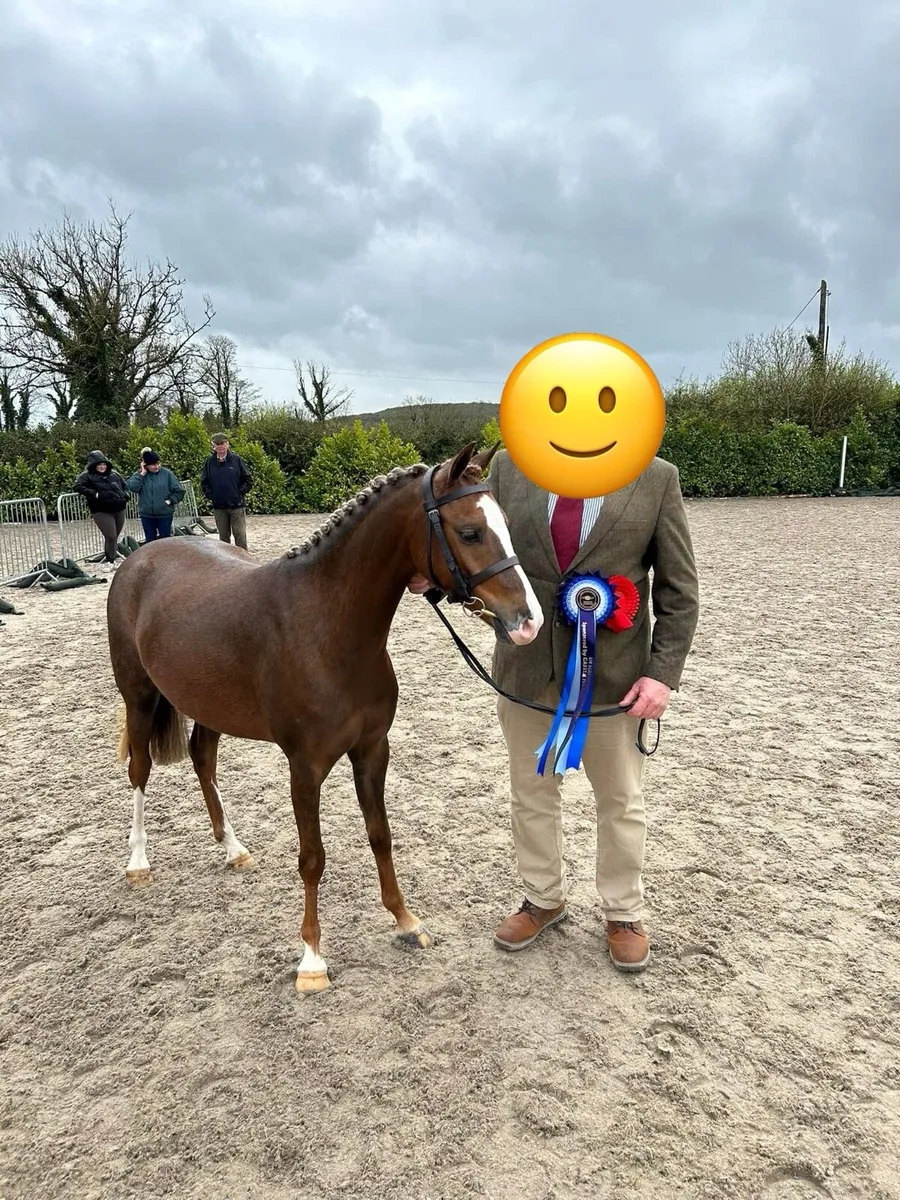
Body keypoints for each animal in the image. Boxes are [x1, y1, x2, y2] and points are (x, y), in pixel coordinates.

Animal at [106, 441, 543, 993]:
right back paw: (138, 860)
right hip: (139, 697)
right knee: (140, 770)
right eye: (469, 532)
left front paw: (406, 921)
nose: (529, 621)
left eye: (504, 523)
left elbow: (380, 835)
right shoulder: (305, 766)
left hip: (206, 706)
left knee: (202, 760)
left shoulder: (372, 750)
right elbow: (312, 858)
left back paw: (233, 849)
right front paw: (311, 959)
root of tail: (139, 556)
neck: (327, 627)